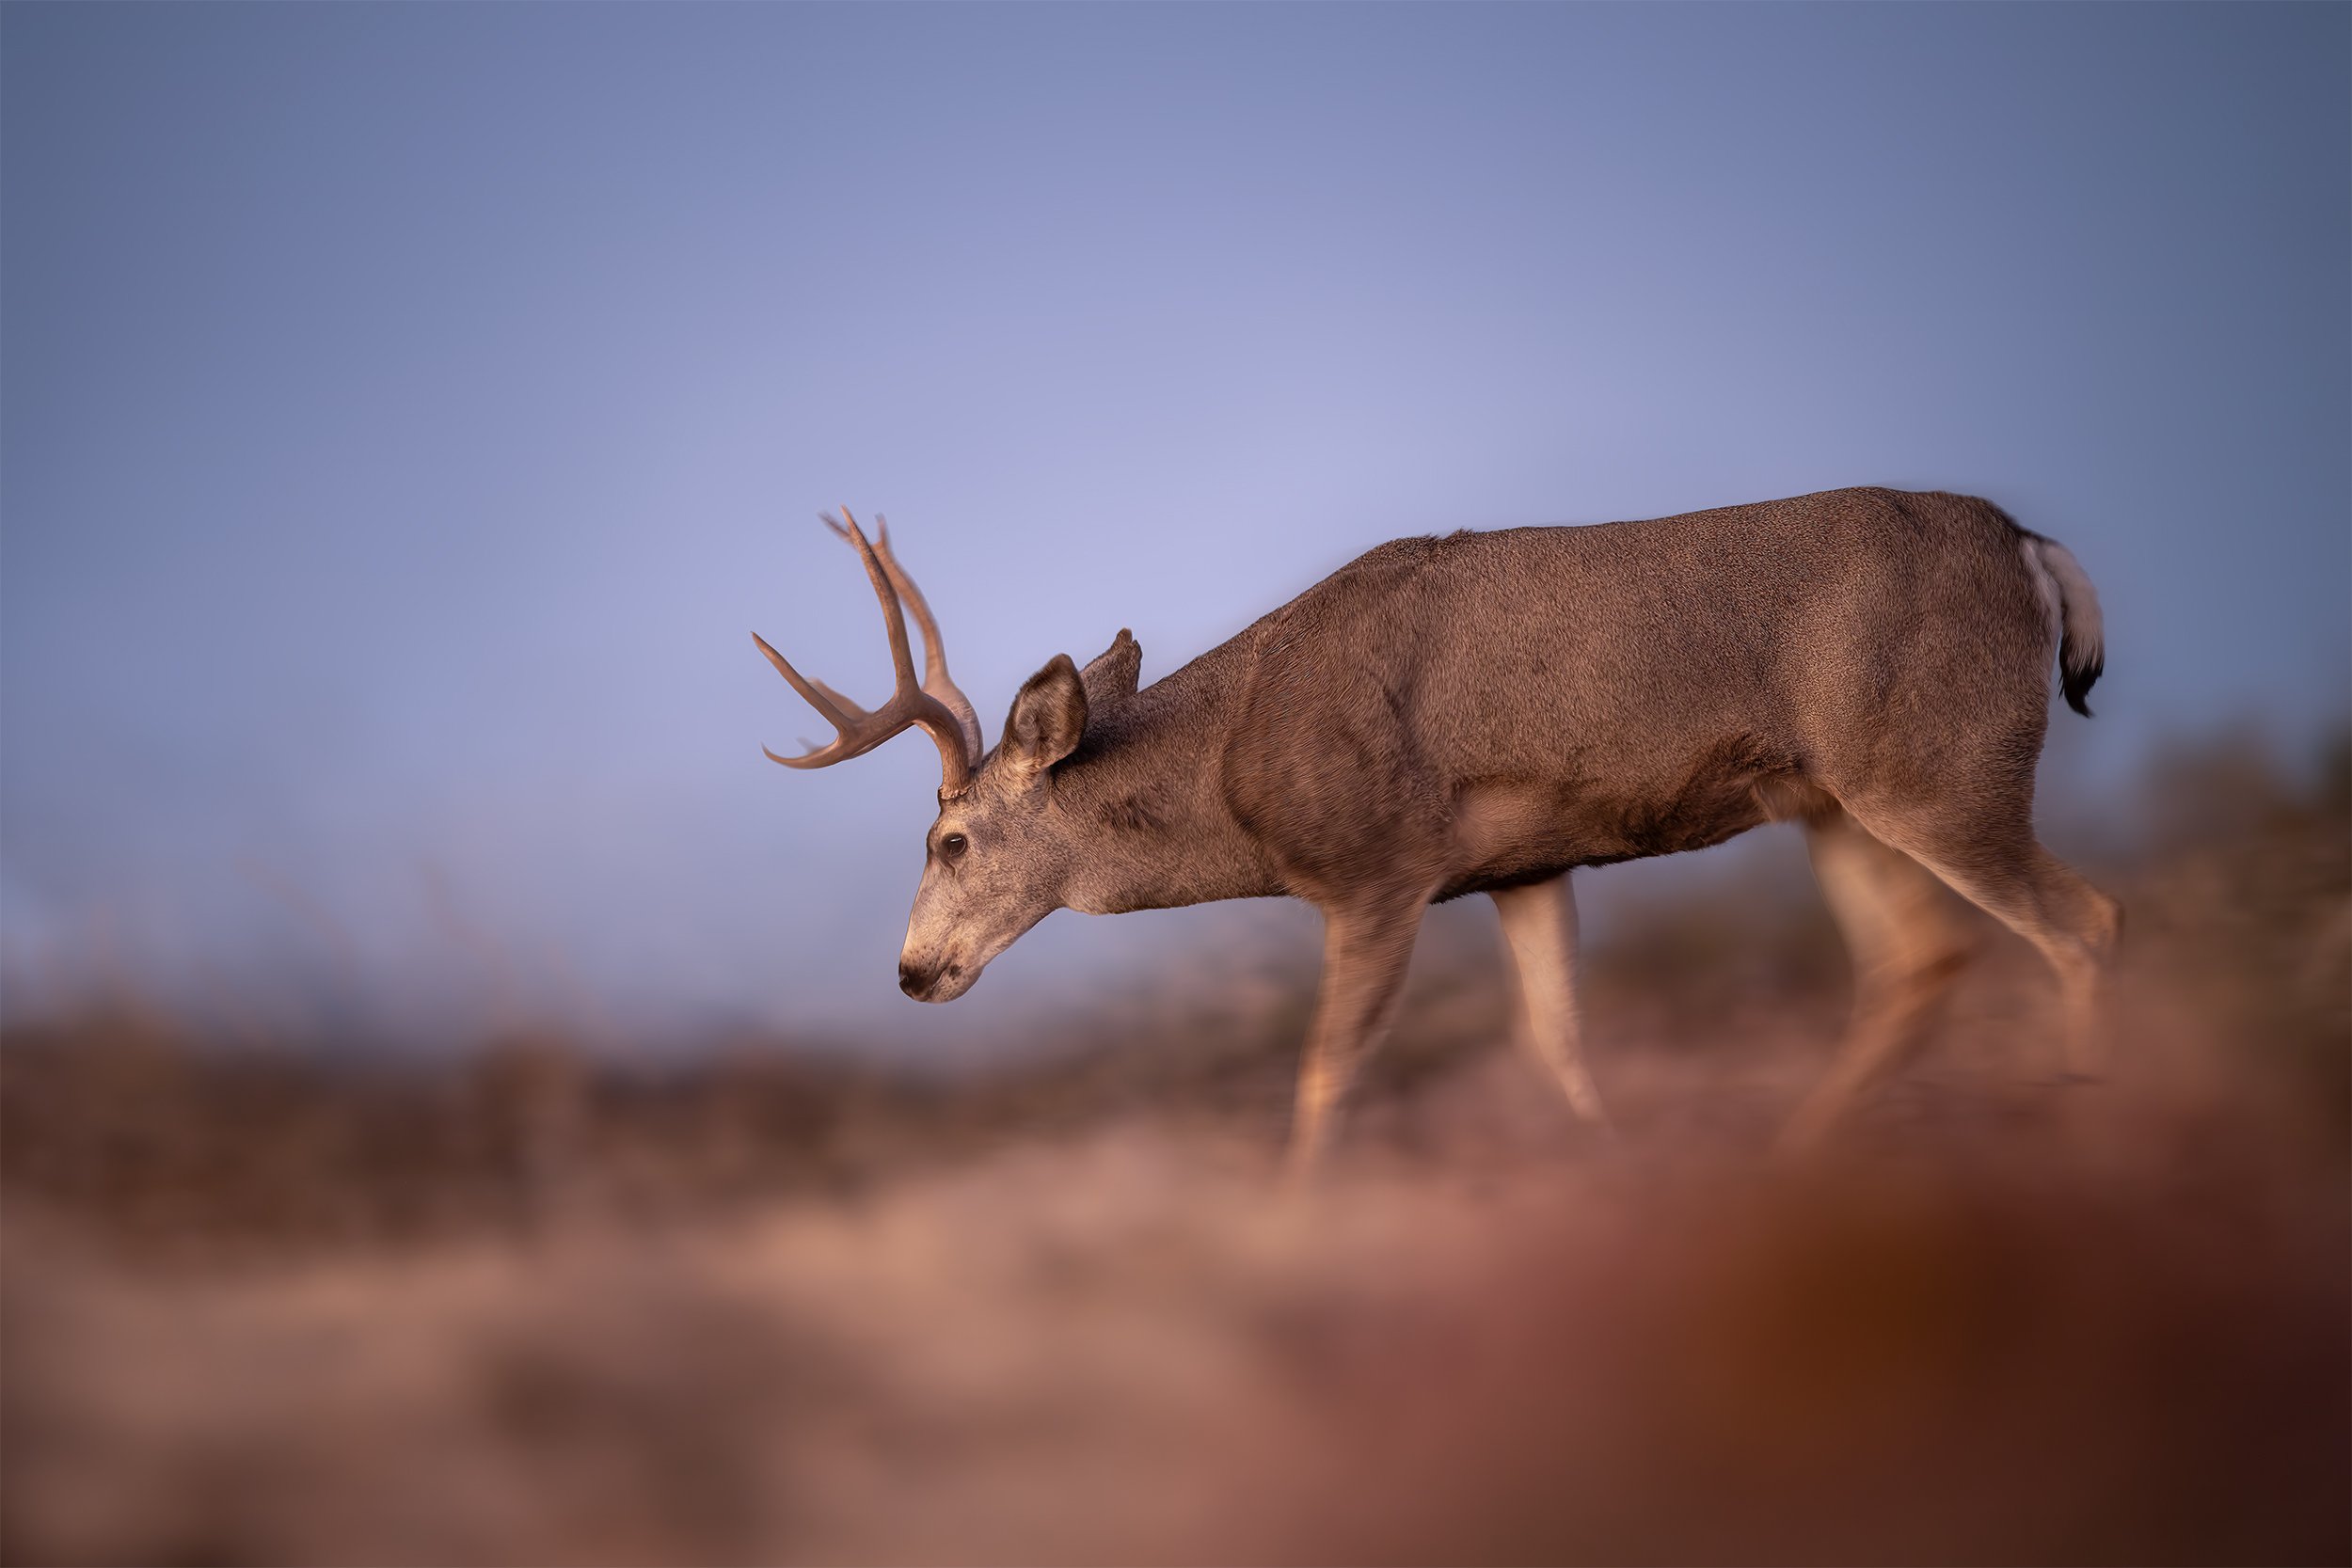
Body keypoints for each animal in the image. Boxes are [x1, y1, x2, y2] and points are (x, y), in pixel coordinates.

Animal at [753, 489, 2121, 1175]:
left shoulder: (1377, 868)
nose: (910, 971)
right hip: (1835, 798)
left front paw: (1291, 1237)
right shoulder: (1524, 868)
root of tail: (2031, 544)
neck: (1240, 764)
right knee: (1920, 960)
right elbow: (1557, 1046)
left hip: (1937, 762)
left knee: (2083, 919)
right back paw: (1791, 1159)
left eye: (949, 843)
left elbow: (1324, 1075)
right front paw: (1618, 1180)